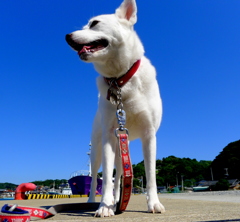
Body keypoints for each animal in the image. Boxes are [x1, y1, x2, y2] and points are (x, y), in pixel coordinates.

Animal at [66, 0, 166, 217]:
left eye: (94, 23)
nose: (67, 36)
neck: (120, 80)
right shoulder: (108, 139)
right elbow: (105, 182)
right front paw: (104, 206)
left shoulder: (149, 135)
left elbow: (151, 176)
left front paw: (154, 203)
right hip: (98, 149)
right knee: (96, 178)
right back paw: (94, 202)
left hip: (122, 150)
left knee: (119, 175)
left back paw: (118, 200)